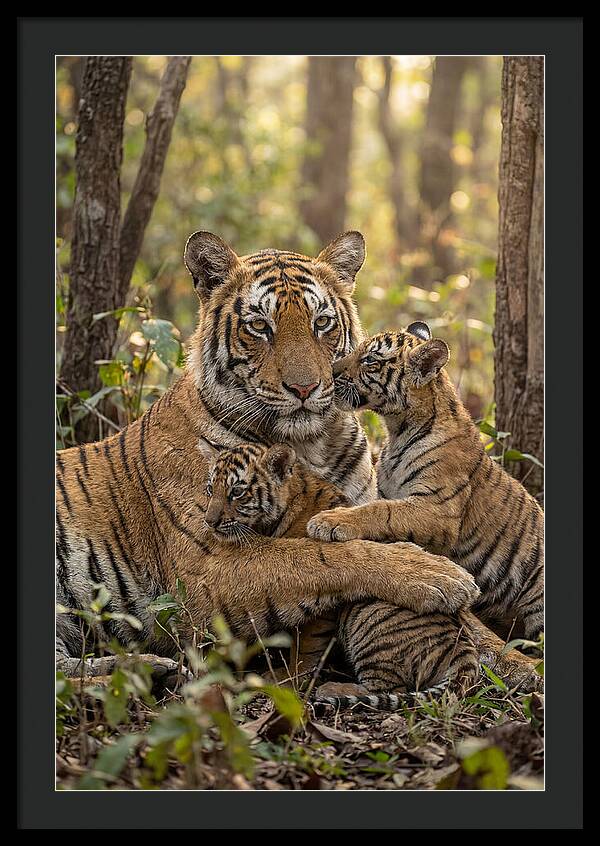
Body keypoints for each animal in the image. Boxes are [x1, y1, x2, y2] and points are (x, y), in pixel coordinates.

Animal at [198, 437, 480, 705]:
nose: (209, 522)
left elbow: (306, 646)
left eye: (237, 492)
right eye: (211, 489)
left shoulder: (322, 601)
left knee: (389, 687)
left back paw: (333, 689)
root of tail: (463, 649)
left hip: (367, 618)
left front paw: (289, 677)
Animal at [307, 322, 544, 645]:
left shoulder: (438, 509)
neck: (397, 429)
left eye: (370, 360)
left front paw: (329, 521)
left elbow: (382, 511)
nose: (330, 372)